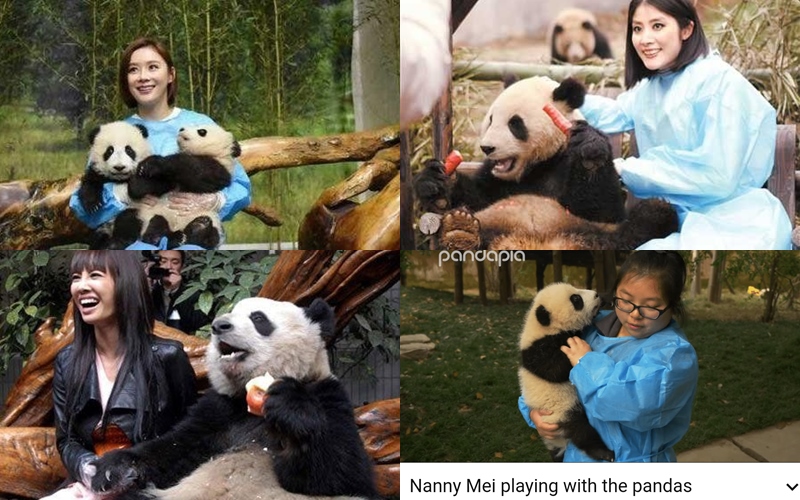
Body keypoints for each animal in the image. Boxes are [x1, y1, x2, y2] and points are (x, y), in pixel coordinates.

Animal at [90, 297, 379, 500]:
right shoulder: (220, 410)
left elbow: (341, 474)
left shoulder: (328, 396)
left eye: (258, 318)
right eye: (230, 312)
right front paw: (111, 468)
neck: (250, 405)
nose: (219, 325)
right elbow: (173, 449)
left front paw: (289, 405)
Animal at [413, 76, 677, 250]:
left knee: (640, 228)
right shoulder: (495, 180)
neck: (539, 164)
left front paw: (590, 152)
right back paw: (461, 230)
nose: (487, 148)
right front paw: (436, 180)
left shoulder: (567, 164)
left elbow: (604, 208)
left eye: (514, 123)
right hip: (493, 225)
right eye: (490, 119)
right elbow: (476, 196)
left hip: (593, 233)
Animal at [518, 282, 614, 462]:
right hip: (563, 411)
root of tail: (559, 441)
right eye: (576, 300)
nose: (596, 295)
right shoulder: (538, 351)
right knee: (581, 431)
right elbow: (555, 370)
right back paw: (603, 452)